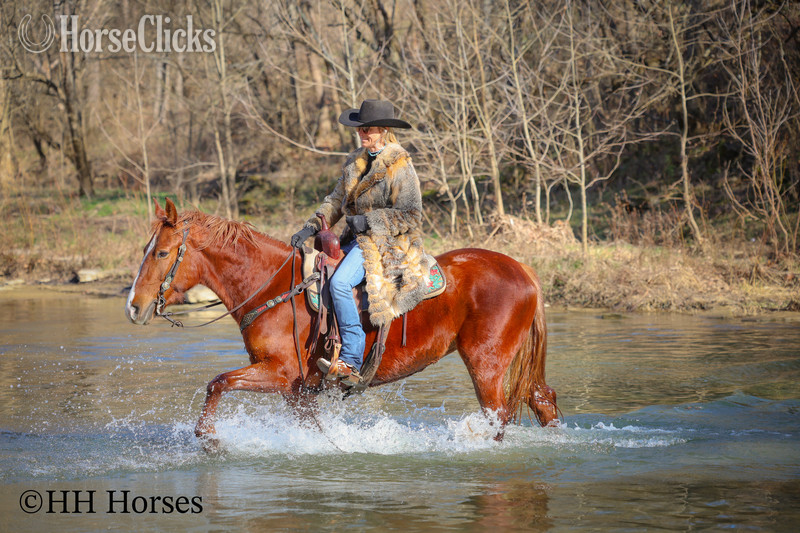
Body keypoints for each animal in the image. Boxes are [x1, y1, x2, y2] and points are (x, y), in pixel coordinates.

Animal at [125, 198, 559, 446]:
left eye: (161, 253)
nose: (134, 306)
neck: (274, 289)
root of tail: (522, 268)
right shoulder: (297, 392)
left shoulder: (280, 374)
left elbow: (217, 382)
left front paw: (208, 437)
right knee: (542, 401)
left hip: (485, 362)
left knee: (498, 416)